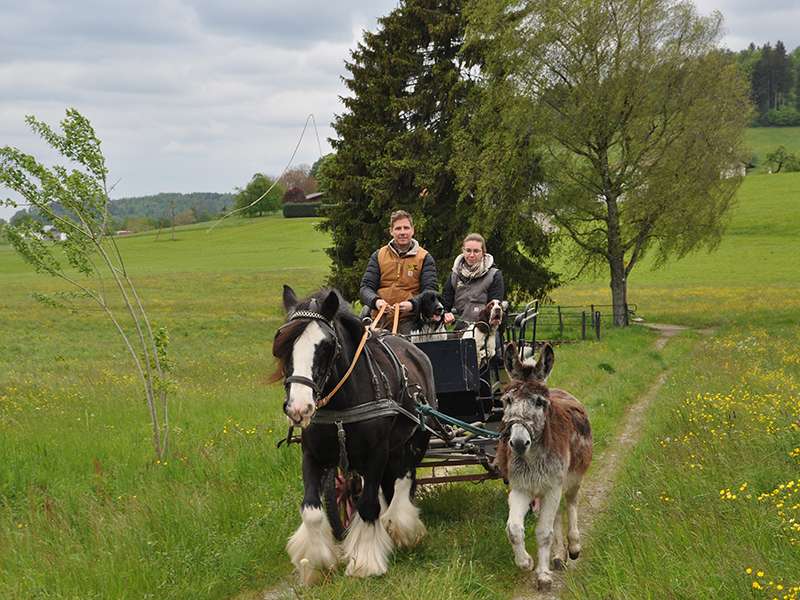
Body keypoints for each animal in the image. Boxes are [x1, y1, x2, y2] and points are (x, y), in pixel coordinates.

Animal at [274, 288, 438, 584]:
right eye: (281, 344)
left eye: (326, 346)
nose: (298, 408)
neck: (342, 404)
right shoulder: (312, 455)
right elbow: (311, 510)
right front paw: (316, 561)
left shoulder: (376, 454)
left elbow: (368, 505)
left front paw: (366, 561)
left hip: (415, 439)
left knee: (404, 478)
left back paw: (401, 526)